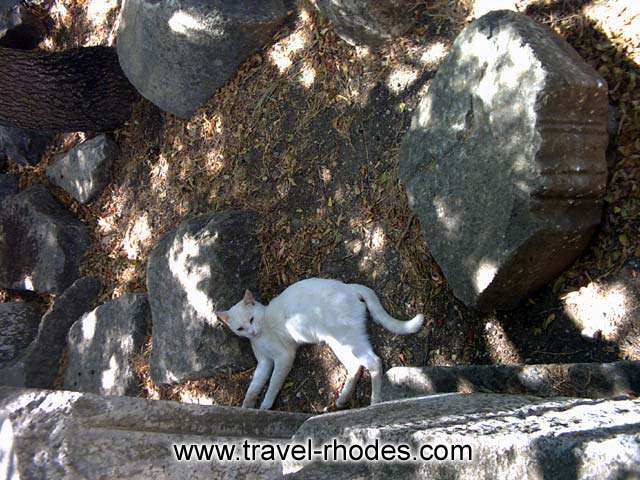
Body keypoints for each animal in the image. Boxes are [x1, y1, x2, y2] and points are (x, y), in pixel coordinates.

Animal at [216, 280, 424, 410]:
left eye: (252, 319)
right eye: (240, 328)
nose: (252, 332)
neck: (261, 333)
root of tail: (348, 287)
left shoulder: (283, 357)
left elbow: (273, 383)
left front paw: (265, 405)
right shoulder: (264, 362)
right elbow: (254, 386)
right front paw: (247, 405)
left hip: (347, 339)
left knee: (374, 362)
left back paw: (374, 402)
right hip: (338, 342)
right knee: (355, 365)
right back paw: (343, 398)